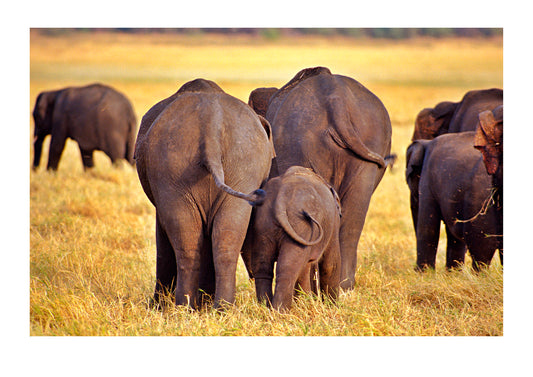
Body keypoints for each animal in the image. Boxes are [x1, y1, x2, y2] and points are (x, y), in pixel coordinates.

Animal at [134, 77, 274, 308]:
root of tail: (211, 131)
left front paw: (158, 307)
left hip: (174, 170)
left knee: (187, 240)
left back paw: (186, 307)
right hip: (239, 164)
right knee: (226, 236)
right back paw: (219, 308)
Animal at [245, 166, 340, 310]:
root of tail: (282, 195)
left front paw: (304, 303)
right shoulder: (332, 224)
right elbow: (330, 265)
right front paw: (333, 307)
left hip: (263, 223)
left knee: (263, 267)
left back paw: (265, 307)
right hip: (300, 224)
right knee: (287, 269)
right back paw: (280, 311)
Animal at [406, 106, 500, 270]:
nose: (413, 269)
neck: (427, 142)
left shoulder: (428, 177)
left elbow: (428, 226)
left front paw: (424, 274)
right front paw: (453, 272)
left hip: (479, 203)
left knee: (481, 248)